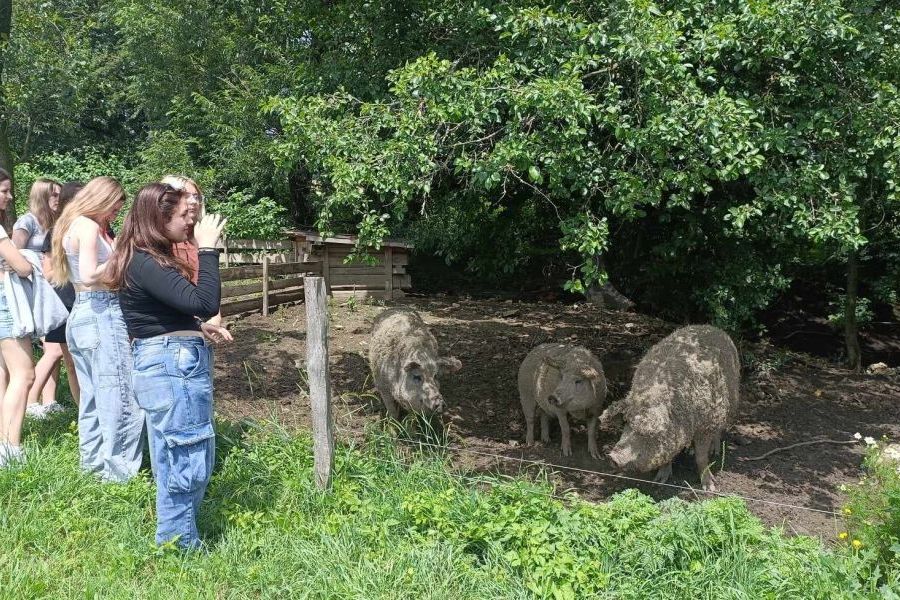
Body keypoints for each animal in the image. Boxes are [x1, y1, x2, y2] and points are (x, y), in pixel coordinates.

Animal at [600, 326, 740, 490]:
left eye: (648, 434)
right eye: (626, 423)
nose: (613, 457)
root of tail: (713, 328)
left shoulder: (705, 424)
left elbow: (701, 457)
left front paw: (710, 488)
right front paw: (660, 481)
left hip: (729, 401)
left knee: (719, 429)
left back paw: (715, 451)